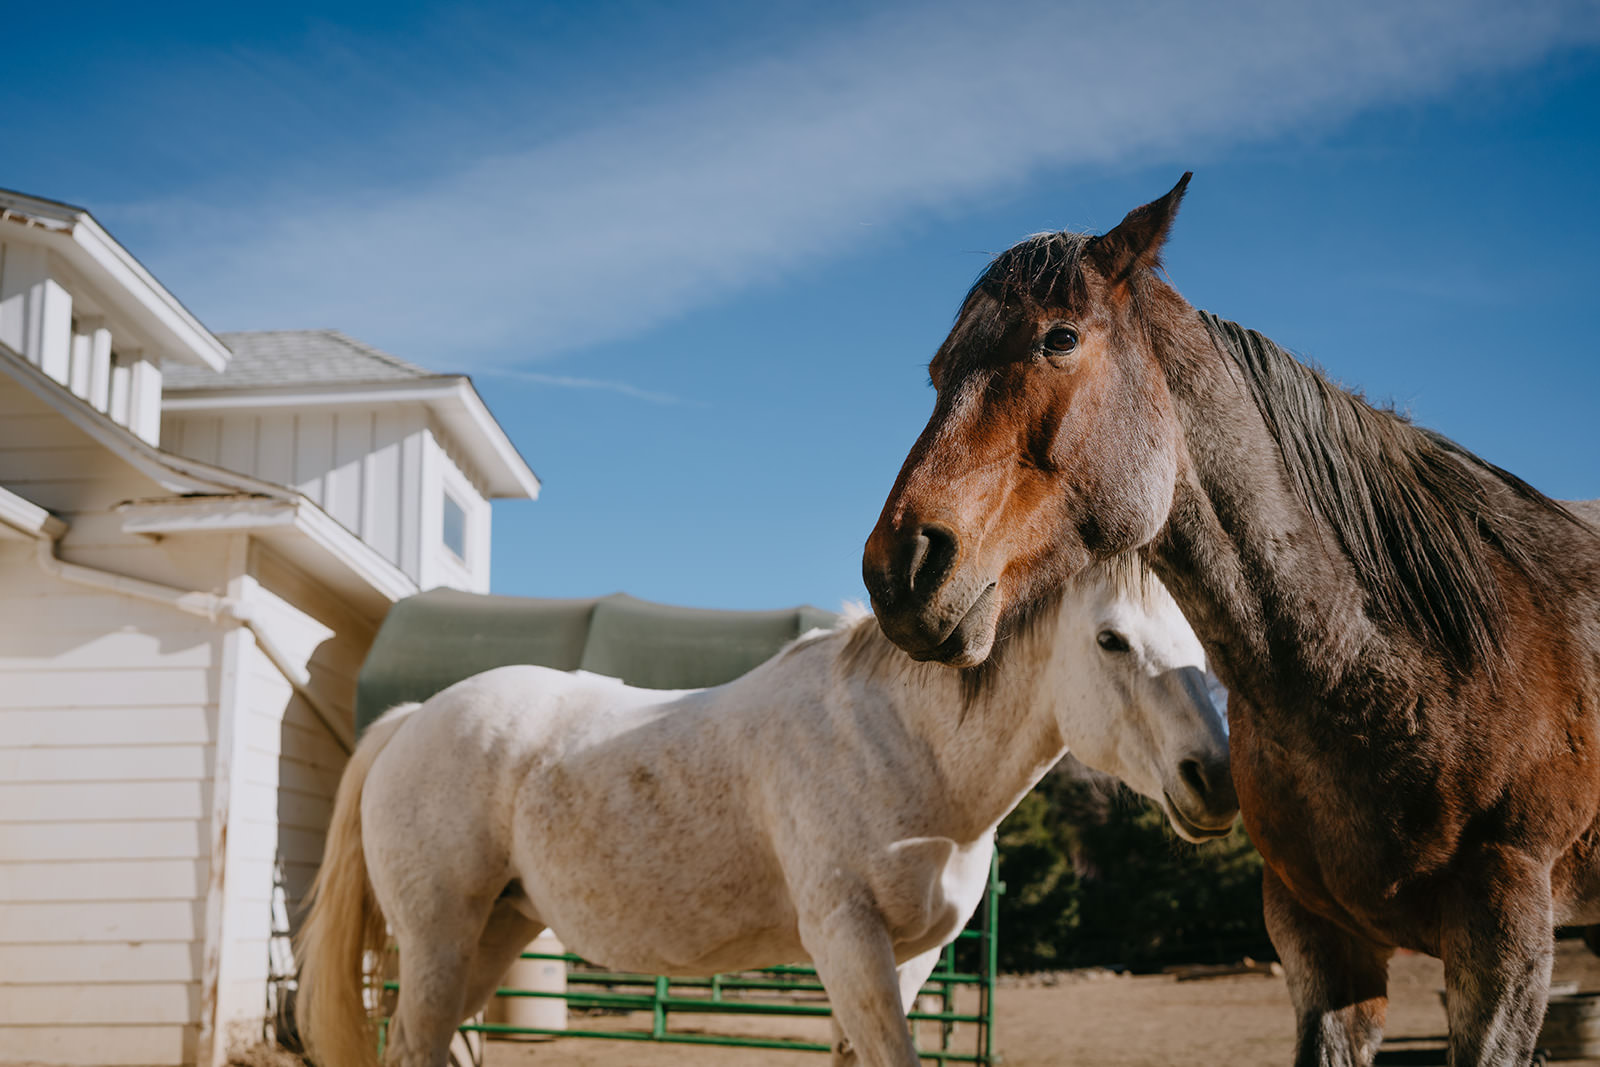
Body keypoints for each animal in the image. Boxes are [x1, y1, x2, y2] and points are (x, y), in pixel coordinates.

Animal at [295, 561, 1235, 1067]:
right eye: (1112, 638)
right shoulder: (846, 941)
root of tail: (414, 715)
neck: (905, 745)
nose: (1216, 780)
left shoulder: (909, 956)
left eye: (1203, 641)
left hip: (491, 931)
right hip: (437, 938)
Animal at [862, 174, 1600, 1066]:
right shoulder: (1319, 938)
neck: (1394, 663)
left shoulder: (1506, 939)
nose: (897, 569)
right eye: (938, 372)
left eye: (1058, 338)